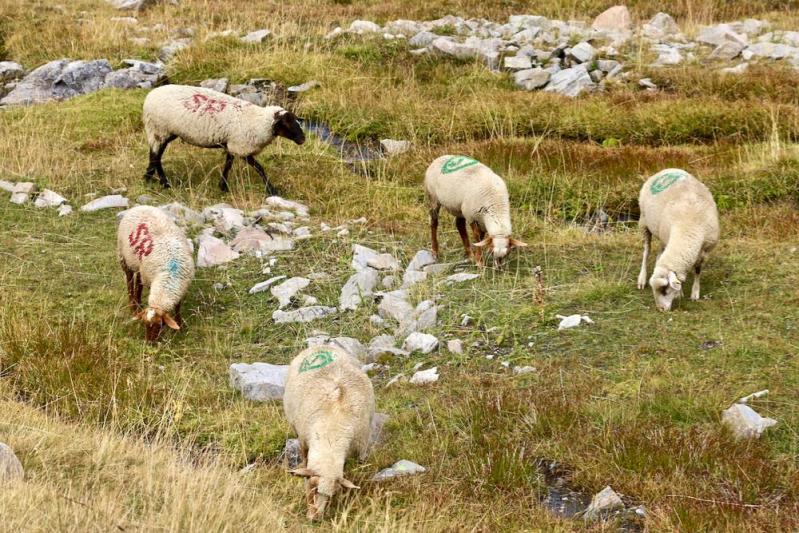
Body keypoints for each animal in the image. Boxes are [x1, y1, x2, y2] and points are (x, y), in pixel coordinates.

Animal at [116, 204, 195, 340]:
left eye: (160, 324)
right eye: (144, 324)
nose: (149, 342)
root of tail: (139, 207)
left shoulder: (181, 289)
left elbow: (178, 308)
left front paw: (179, 325)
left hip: (140, 266)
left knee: (138, 281)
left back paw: (137, 302)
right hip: (124, 257)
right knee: (130, 281)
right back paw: (133, 306)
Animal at [141, 85, 306, 195]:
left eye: (296, 121)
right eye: (286, 123)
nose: (303, 139)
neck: (257, 121)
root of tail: (150, 95)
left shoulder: (231, 144)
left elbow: (228, 164)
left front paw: (223, 186)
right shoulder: (241, 146)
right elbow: (259, 168)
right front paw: (272, 190)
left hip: (163, 132)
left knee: (156, 156)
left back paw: (154, 179)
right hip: (159, 129)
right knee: (155, 156)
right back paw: (159, 181)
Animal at [284, 344, 376, 520]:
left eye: (331, 496)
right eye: (312, 489)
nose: (315, 518)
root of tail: (322, 345)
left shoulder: (359, 448)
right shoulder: (304, 441)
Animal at [636, 168, 720, 310]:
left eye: (665, 290)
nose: (661, 310)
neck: (688, 228)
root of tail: (668, 169)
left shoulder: (705, 250)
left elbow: (698, 269)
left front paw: (695, 293)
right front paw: (680, 293)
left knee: (658, 253)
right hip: (644, 223)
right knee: (646, 252)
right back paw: (641, 278)